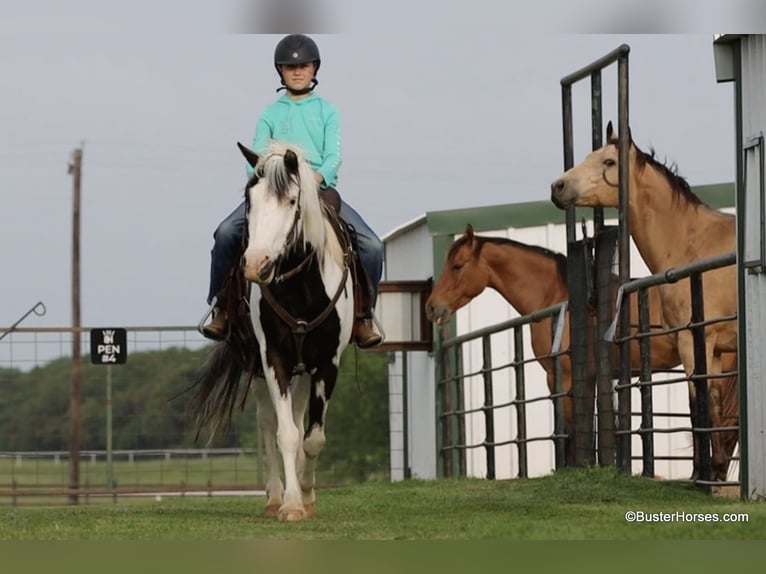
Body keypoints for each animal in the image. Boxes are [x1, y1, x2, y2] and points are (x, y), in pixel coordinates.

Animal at [190, 141, 354, 521]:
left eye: (292, 201)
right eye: (250, 200)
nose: (256, 265)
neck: (302, 289)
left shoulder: (327, 363)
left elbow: (313, 437)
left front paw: (307, 495)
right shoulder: (273, 358)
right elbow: (286, 434)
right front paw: (292, 503)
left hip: (304, 370)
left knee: (297, 417)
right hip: (258, 366)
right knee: (268, 422)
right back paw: (275, 496)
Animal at [550, 121, 739, 482]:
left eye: (609, 161)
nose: (558, 186)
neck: (693, 243)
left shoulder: (695, 340)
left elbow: (702, 403)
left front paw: (709, 473)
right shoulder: (711, 349)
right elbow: (706, 404)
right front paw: (707, 472)